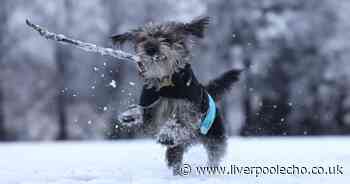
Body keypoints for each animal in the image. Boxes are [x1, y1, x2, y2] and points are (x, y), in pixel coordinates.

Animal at [112, 16, 241, 175]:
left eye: (166, 38)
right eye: (143, 38)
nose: (150, 49)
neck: (166, 82)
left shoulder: (191, 110)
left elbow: (180, 120)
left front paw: (167, 133)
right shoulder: (151, 106)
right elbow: (144, 112)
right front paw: (130, 114)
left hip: (214, 137)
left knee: (214, 155)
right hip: (180, 145)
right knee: (175, 154)